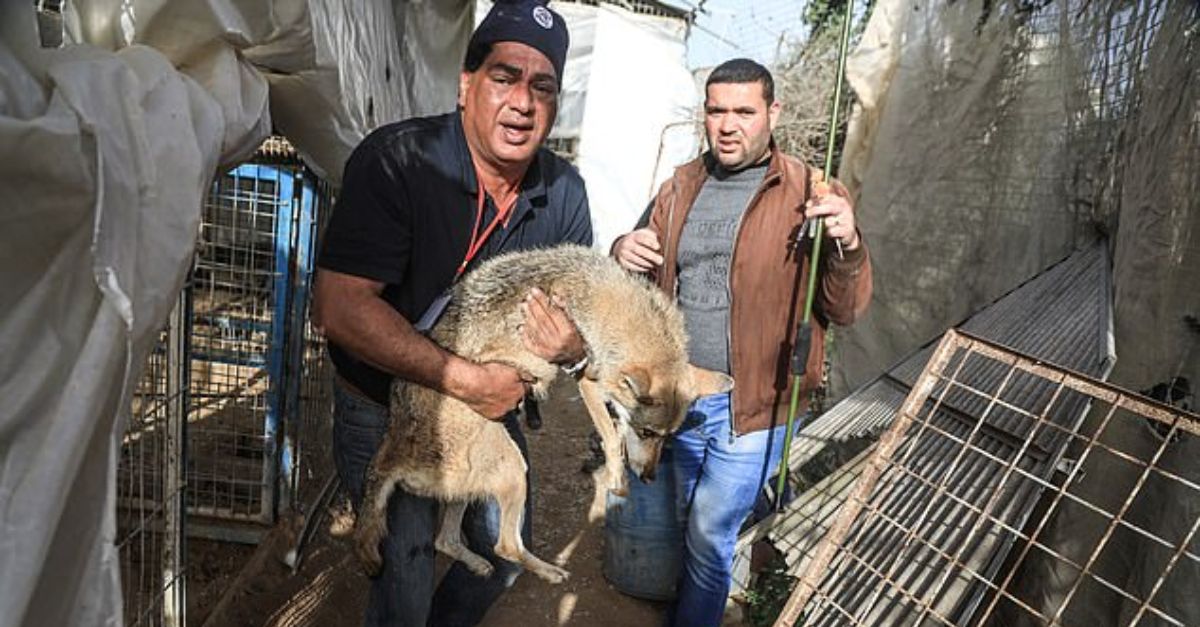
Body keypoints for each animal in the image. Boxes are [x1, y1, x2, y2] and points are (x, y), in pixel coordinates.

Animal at [350, 242, 729, 581]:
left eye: (668, 437)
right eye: (648, 433)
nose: (649, 477)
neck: (605, 302)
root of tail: (393, 448)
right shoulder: (587, 379)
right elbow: (611, 437)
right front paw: (618, 480)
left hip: (471, 490)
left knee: (446, 540)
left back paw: (479, 565)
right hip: (515, 469)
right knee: (505, 547)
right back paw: (550, 571)